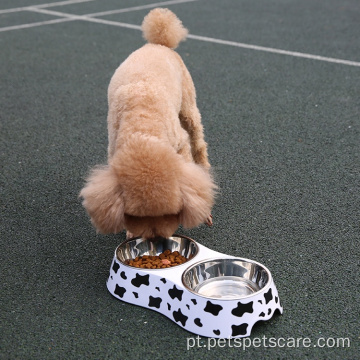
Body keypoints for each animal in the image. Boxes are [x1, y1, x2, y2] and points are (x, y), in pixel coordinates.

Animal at [80, 7, 217, 239]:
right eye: (134, 216)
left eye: (173, 214)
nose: (156, 240)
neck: (143, 127)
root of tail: (158, 44)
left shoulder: (180, 143)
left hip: (188, 106)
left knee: (198, 143)